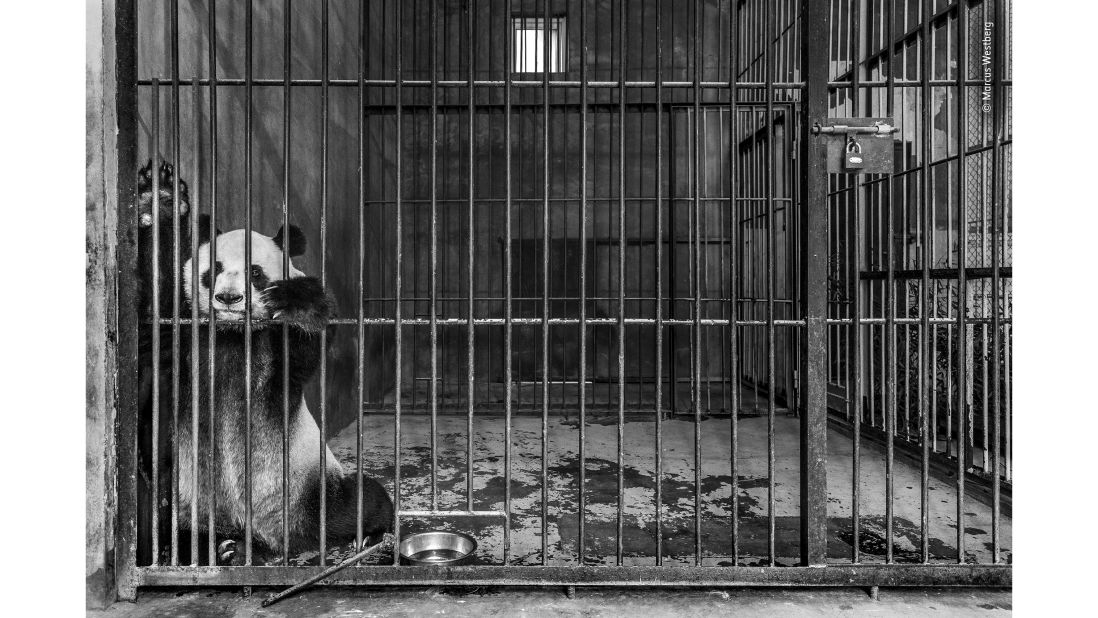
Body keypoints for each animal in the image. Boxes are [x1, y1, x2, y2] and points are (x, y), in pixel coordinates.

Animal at [166, 223, 395, 566]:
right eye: (214, 269)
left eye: (255, 272)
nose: (229, 298)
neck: (233, 333)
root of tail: (272, 539)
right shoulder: (188, 340)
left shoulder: (274, 362)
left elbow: (304, 345)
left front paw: (295, 303)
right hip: (190, 499)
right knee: (173, 530)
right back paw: (223, 550)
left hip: (309, 489)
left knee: (362, 501)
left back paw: (370, 536)